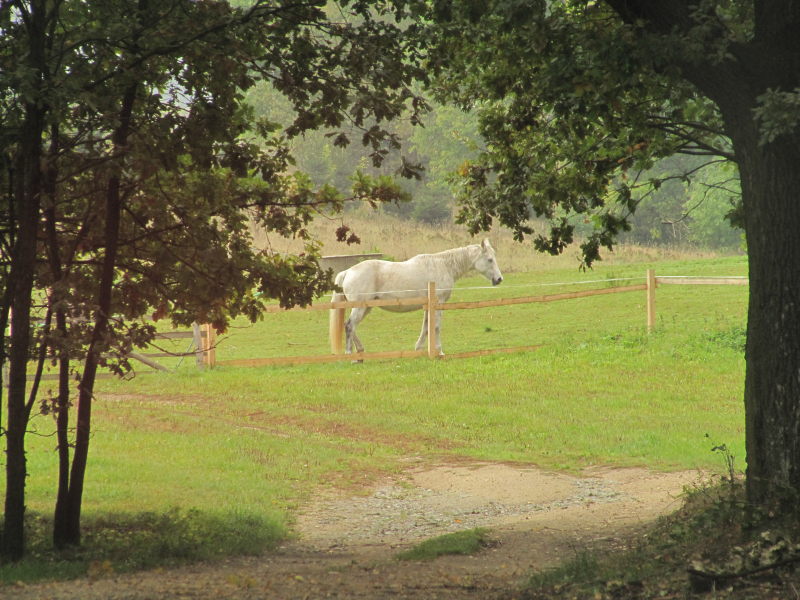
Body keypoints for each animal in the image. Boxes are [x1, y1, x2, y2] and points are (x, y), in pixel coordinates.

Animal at [328, 239, 504, 356]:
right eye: (490, 259)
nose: (499, 279)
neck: (443, 266)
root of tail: (348, 272)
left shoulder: (428, 306)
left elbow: (426, 327)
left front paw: (419, 349)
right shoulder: (438, 304)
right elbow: (436, 327)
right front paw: (439, 352)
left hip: (366, 307)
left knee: (351, 326)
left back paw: (360, 350)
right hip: (360, 307)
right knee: (349, 326)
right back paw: (350, 354)